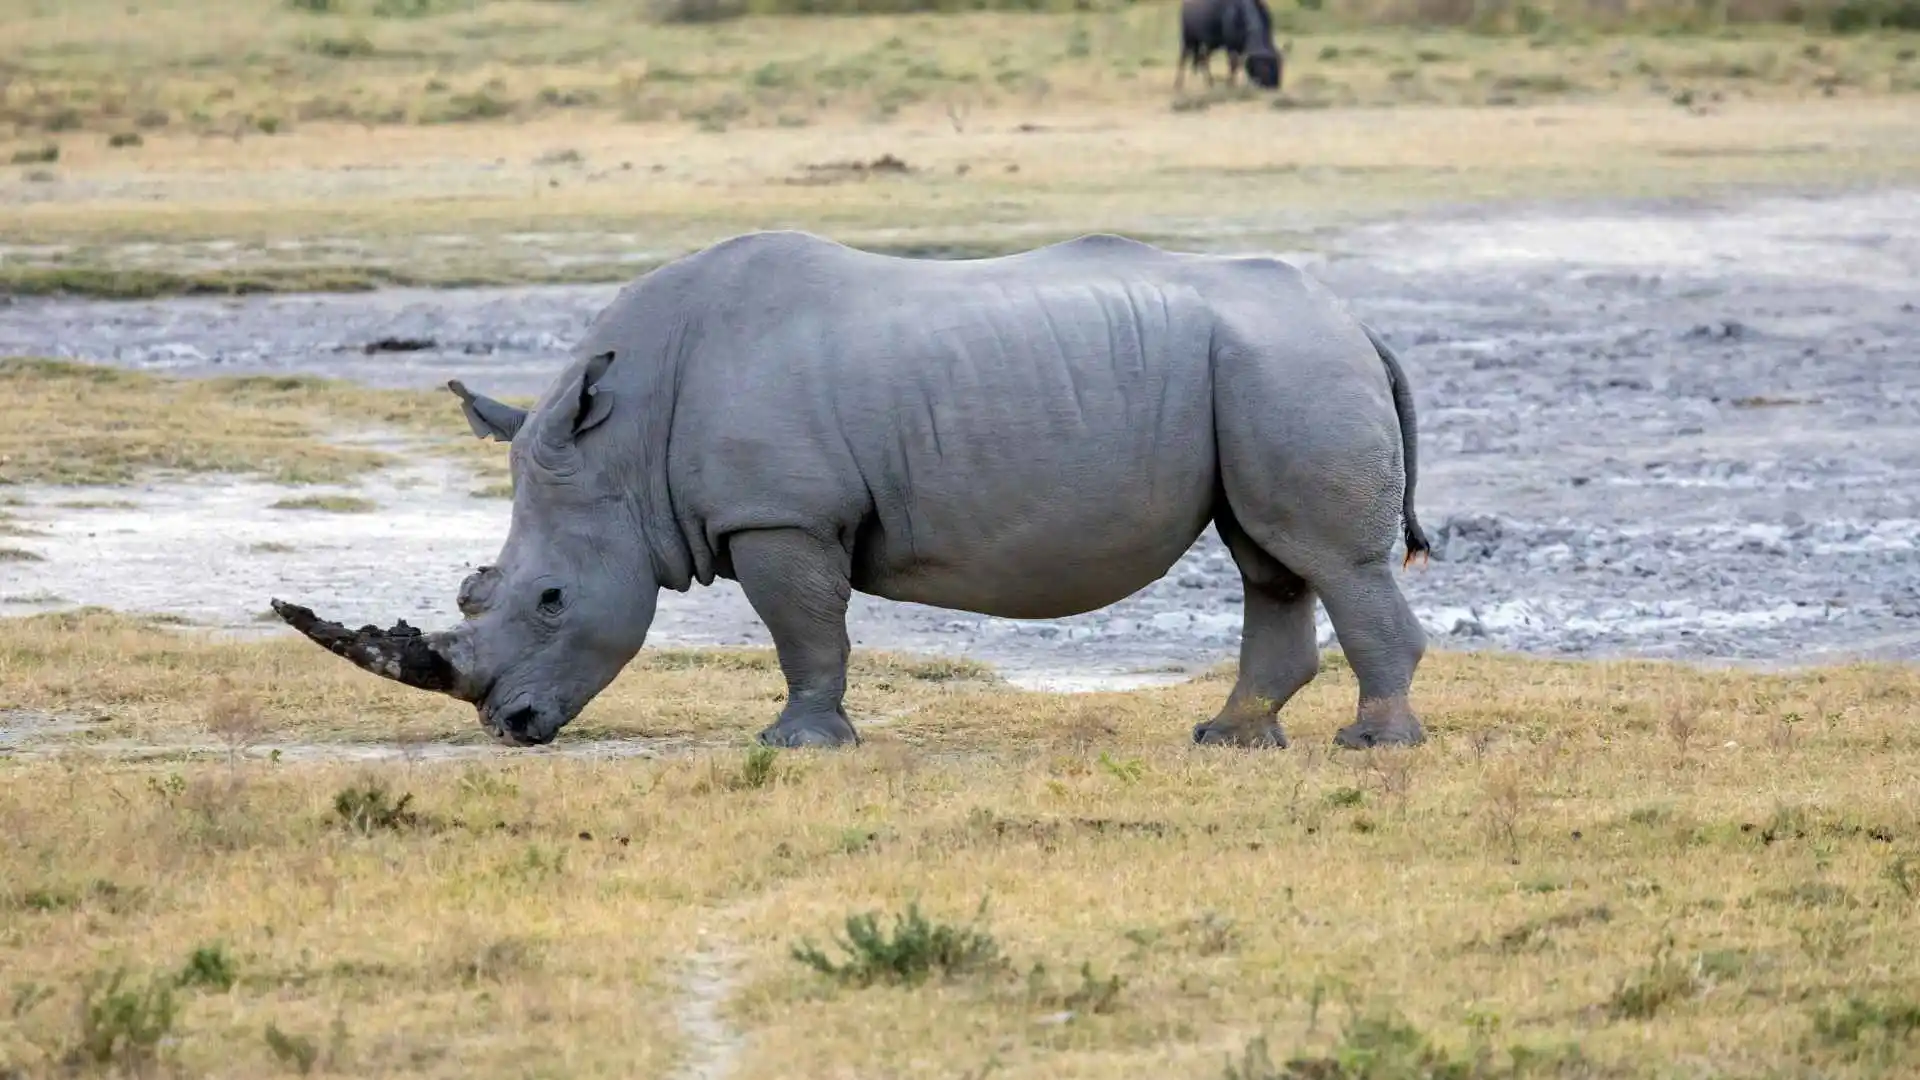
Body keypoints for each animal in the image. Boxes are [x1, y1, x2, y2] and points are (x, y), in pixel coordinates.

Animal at [272, 229, 1434, 752]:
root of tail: (1357, 325)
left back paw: (1372, 747)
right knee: (1267, 556)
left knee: (1325, 558)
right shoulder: (779, 512)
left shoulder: (781, 515)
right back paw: (1227, 740)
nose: (509, 727)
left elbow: (806, 632)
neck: (626, 447)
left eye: (552, 600)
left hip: (1288, 369)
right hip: (1263, 372)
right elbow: (813, 632)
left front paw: (796, 746)